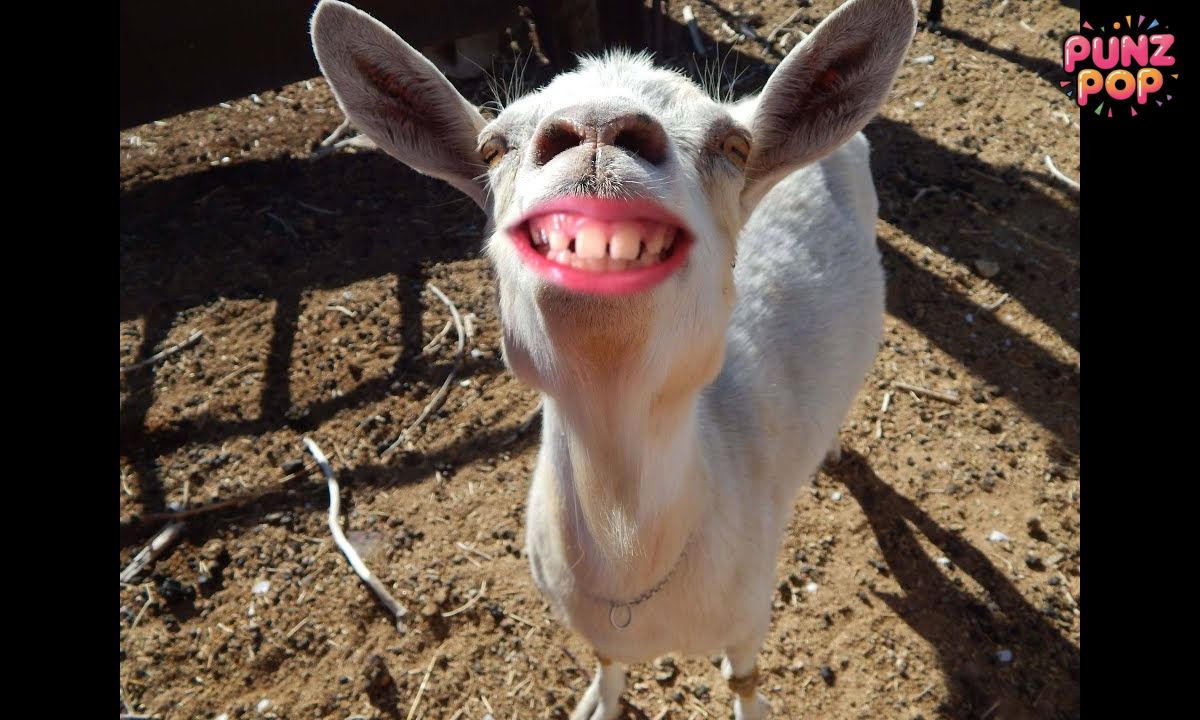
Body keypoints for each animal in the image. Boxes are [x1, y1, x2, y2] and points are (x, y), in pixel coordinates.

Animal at [311, 1, 916, 717]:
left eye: (733, 148)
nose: (598, 130)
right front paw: (598, 701)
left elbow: (743, 678)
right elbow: (607, 661)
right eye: (492, 147)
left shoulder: (749, 612)